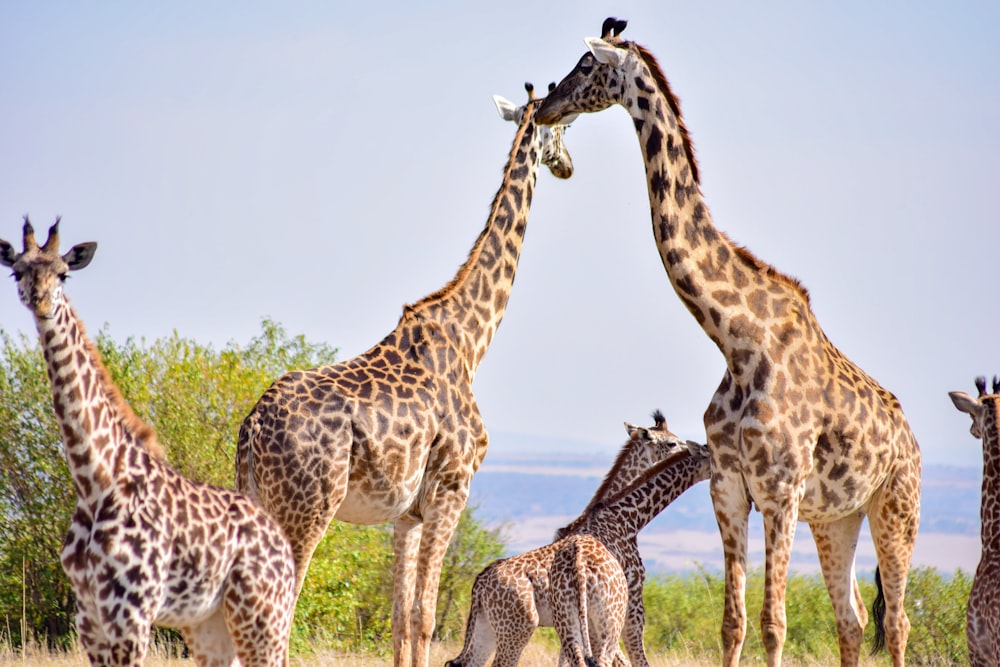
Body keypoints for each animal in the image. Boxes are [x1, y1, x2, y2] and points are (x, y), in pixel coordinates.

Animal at [0, 218, 296, 664]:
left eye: (64, 274)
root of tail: (283, 545)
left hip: (263, 616)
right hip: (210, 625)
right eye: (17, 272)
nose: (40, 301)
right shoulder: (89, 618)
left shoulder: (132, 614)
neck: (95, 479)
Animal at [236, 79, 580, 667]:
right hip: (305, 511)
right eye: (563, 129)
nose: (568, 167)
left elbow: (400, 620)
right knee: (277, 614)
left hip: (257, 499)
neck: (471, 339)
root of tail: (252, 426)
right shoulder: (451, 488)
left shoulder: (406, 513)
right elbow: (425, 616)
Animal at [540, 17, 920, 667]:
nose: (544, 105)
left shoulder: (780, 491)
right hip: (837, 518)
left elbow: (774, 624)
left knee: (895, 621)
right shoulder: (730, 488)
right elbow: (733, 623)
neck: (738, 340)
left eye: (586, 66)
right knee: (851, 619)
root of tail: (912, 438)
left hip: (896, 507)